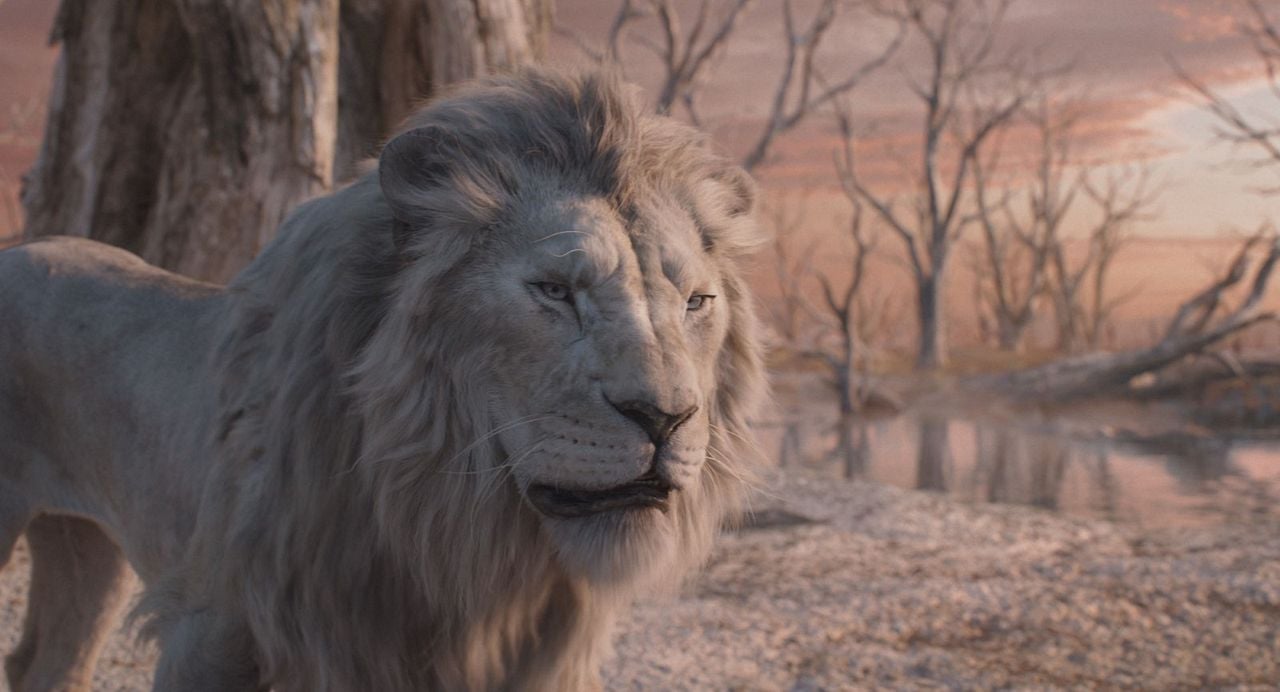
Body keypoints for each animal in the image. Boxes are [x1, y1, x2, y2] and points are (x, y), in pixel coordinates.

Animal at [0, 69, 765, 691]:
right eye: (553, 290)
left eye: (696, 302)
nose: (665, 418)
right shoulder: (212, 621)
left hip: (87, 549)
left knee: (45, 664)